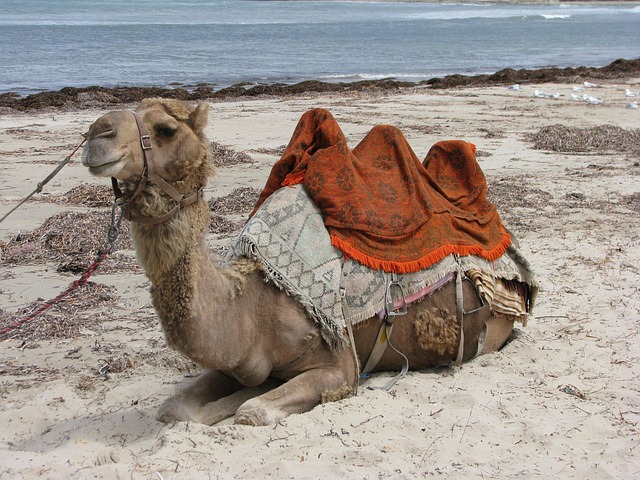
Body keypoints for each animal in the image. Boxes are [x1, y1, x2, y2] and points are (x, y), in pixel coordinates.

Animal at [81, 98, 527, 426]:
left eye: (166, 129)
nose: (96, 133)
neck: (252, 306)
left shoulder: (341, 367)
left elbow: (252, 411)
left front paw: (243, 402)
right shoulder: (234, 363)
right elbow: (176, 408)